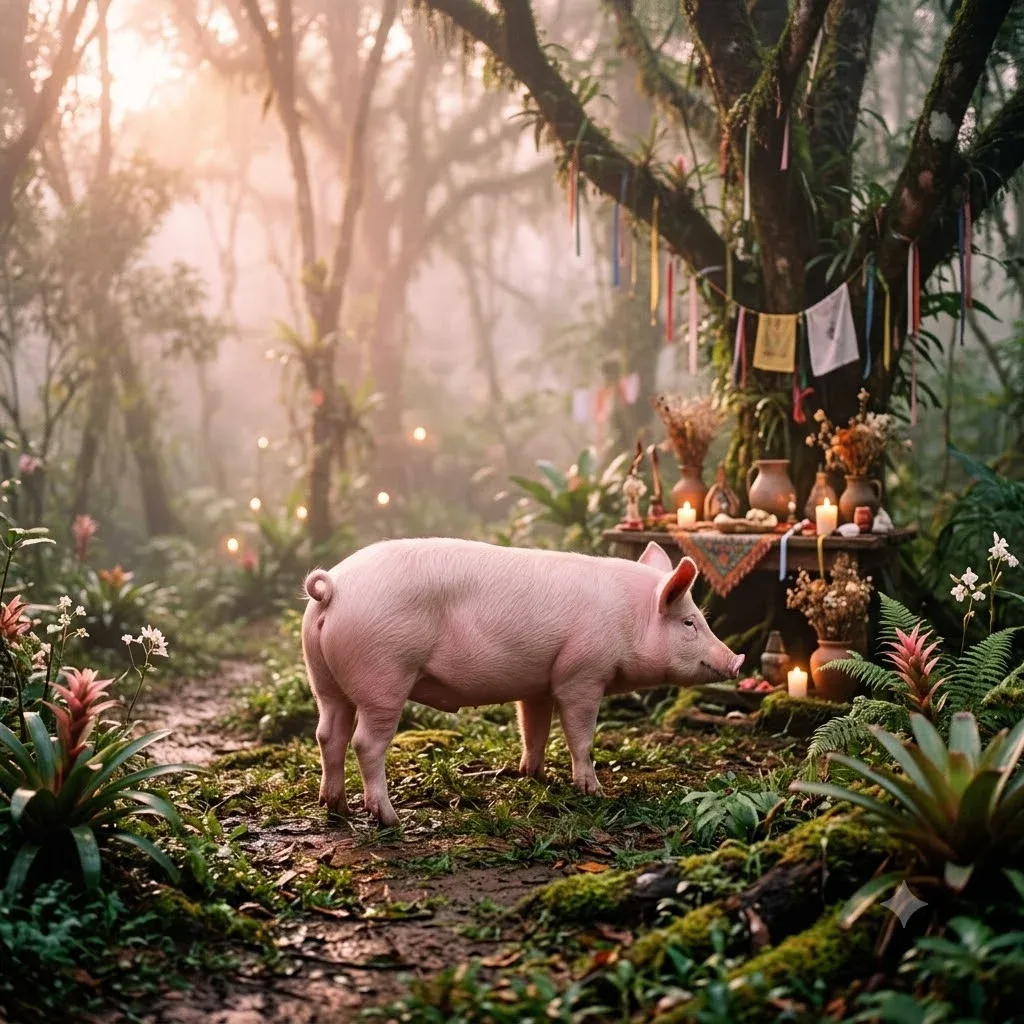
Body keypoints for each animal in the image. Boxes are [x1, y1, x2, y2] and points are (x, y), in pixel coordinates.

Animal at [302, 538, 743, 826]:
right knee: (365, 743)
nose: (737, 660)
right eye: (690, 623)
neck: (629, 618)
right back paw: (390, 819)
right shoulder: (582, 675)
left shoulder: (540, 684)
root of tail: (333, 590)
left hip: (324, 681)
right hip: (384, 676)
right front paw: (593, 792)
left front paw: (534, 776)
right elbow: (581, 737)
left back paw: (335, 807)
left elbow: (534, 730)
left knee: (328, 735)